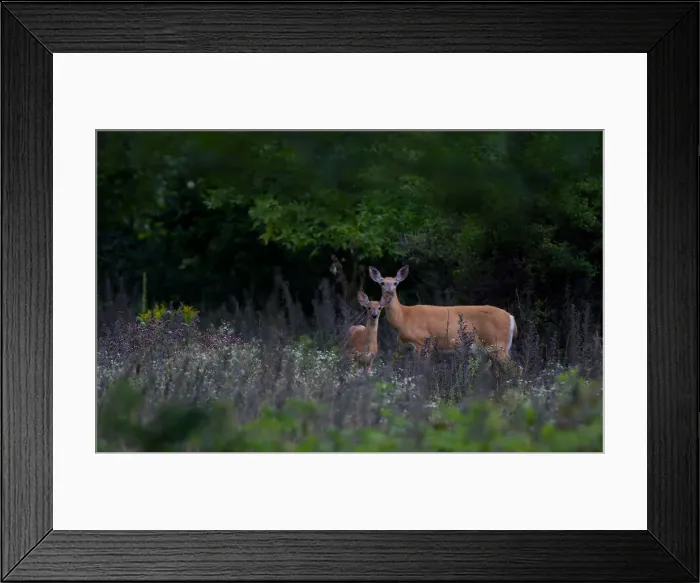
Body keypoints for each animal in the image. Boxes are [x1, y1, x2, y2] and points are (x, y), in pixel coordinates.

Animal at [368, 265, 518, 366]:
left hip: (498, 343)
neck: (403, 318)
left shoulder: (422, 341)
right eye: (382, 283)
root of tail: (511, 318)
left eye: (395, 283)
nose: (389, 292)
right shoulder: (404, 347)